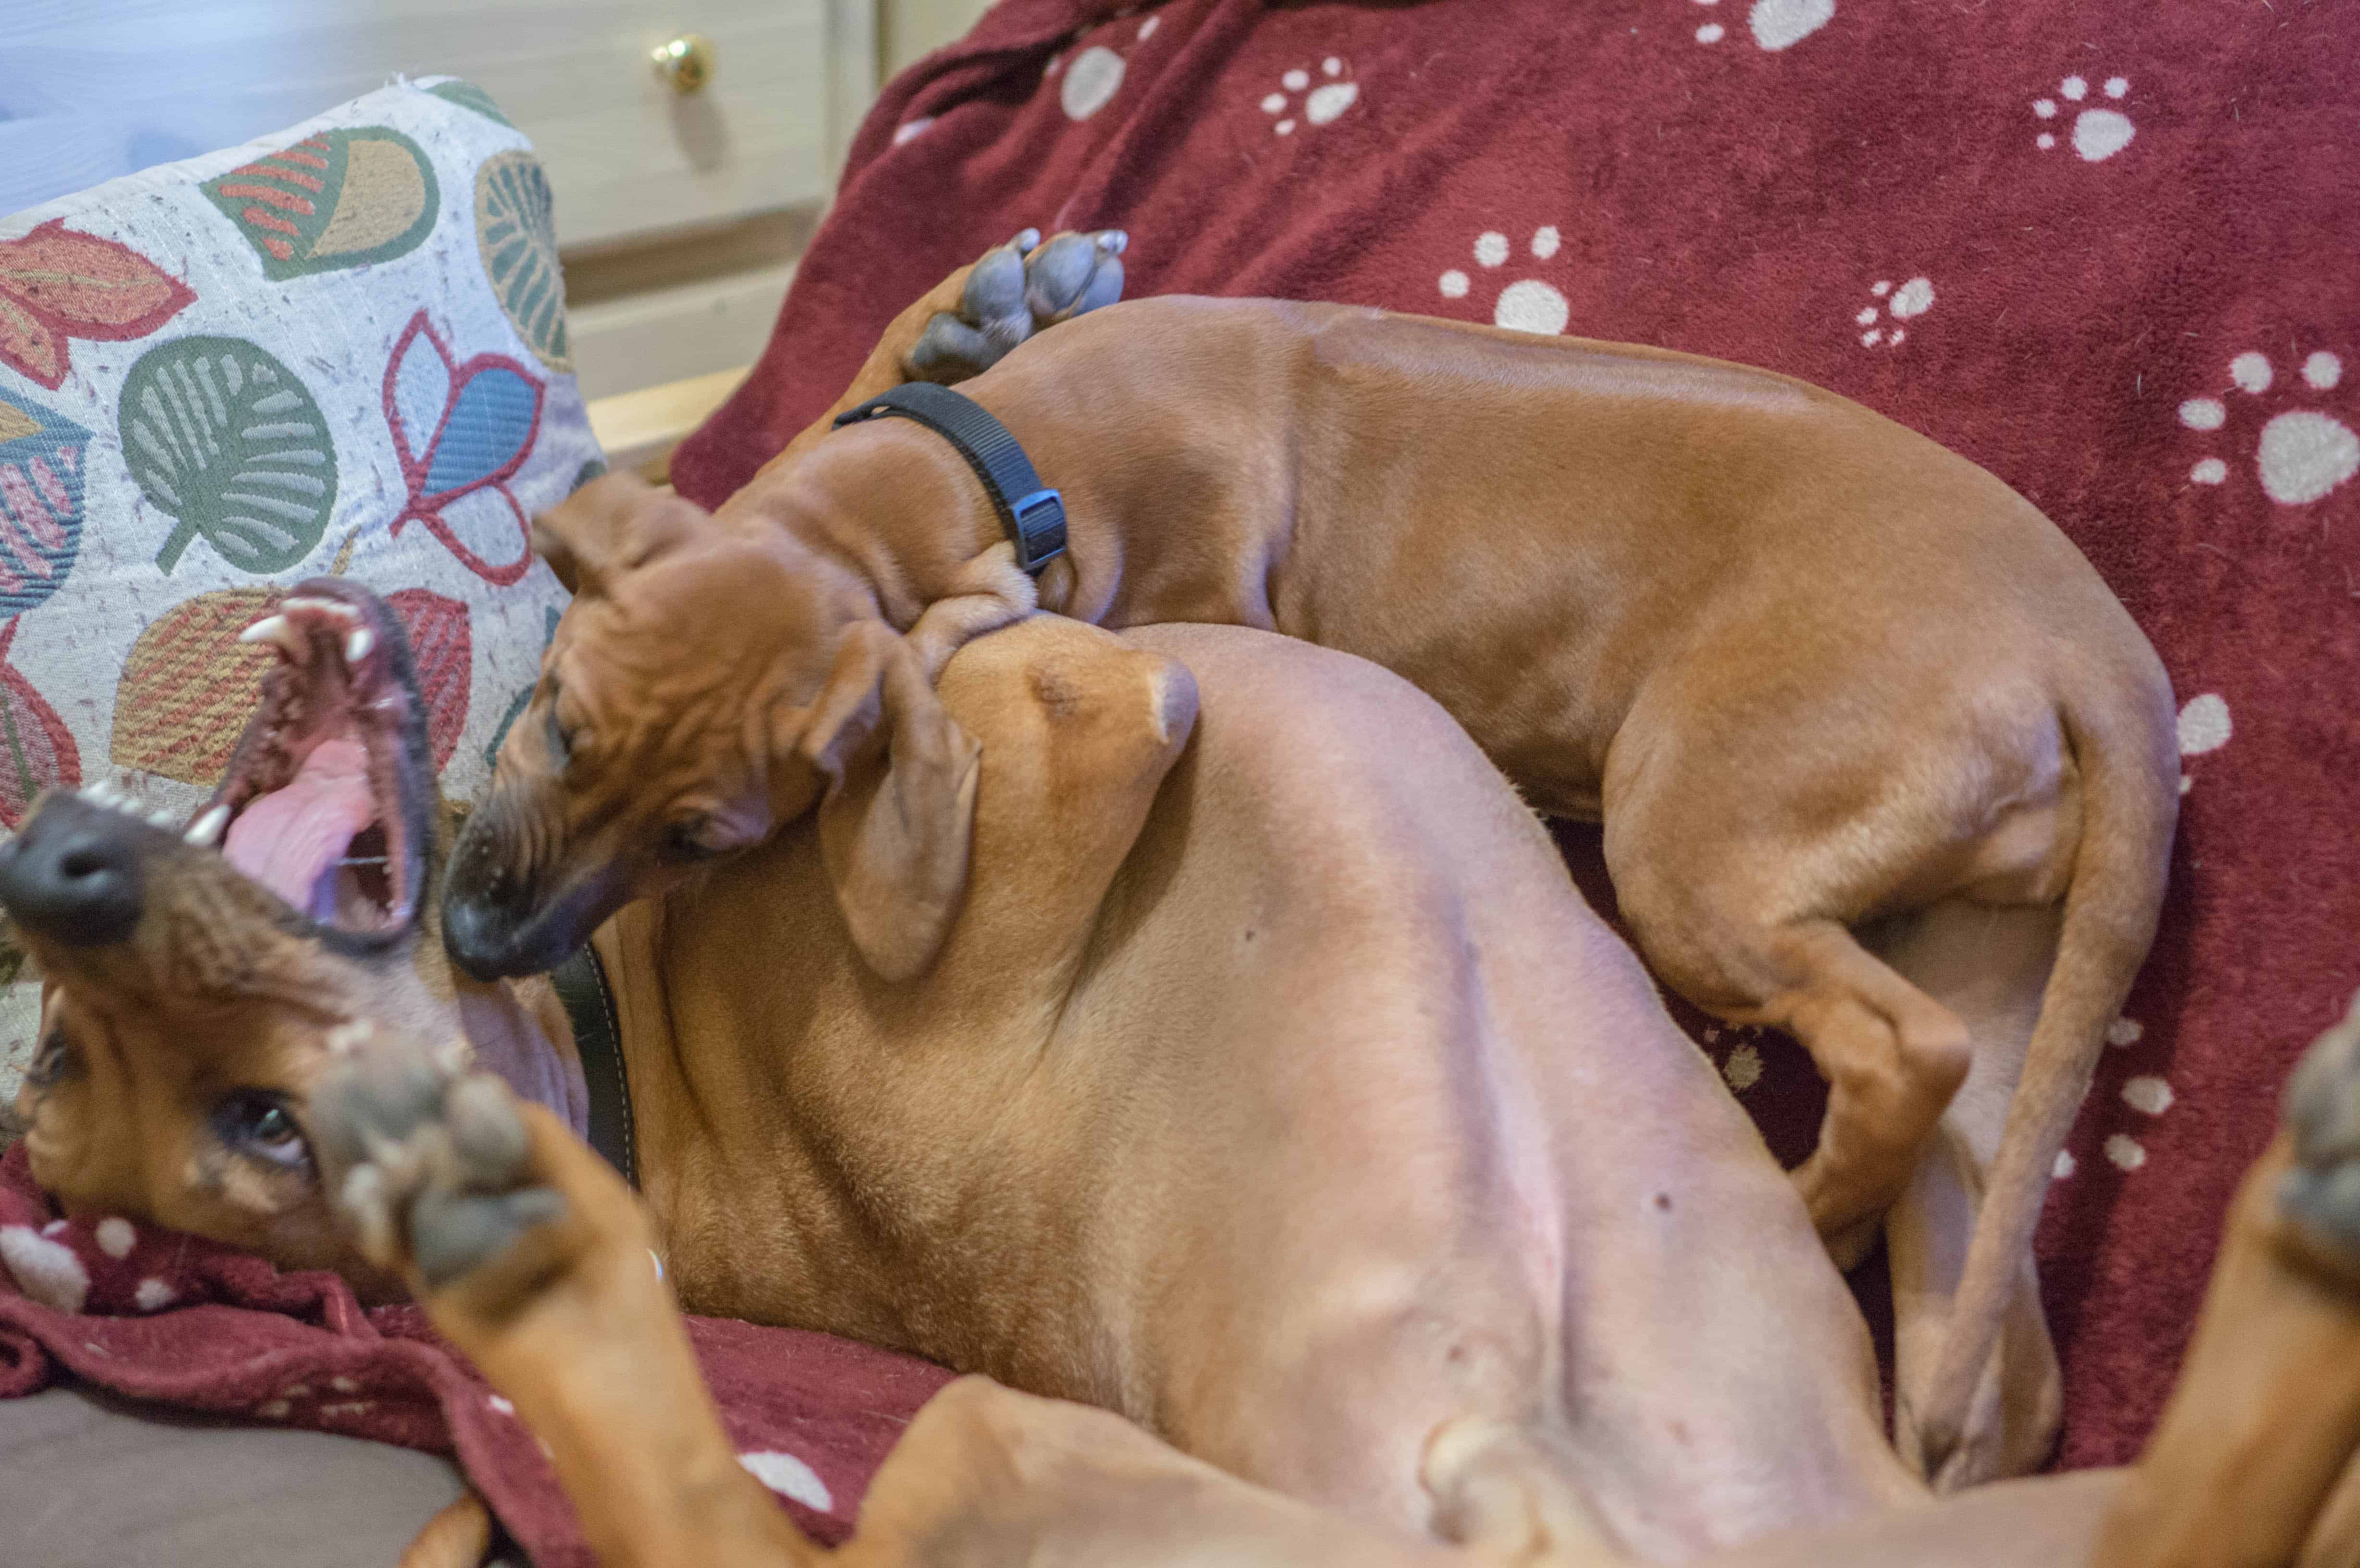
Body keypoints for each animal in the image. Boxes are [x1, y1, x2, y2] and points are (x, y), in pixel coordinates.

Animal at [439, 242, 2171, 1483]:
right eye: (554, 725)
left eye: (701, 841)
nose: (475, 936)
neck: (994, 465)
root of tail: (2097, 653)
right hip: (1985, 963)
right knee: (1995, 1329)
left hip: (1698, 846)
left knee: (1898, 1052)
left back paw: (1798, 1210)